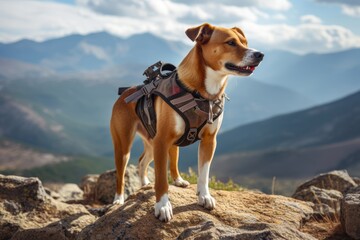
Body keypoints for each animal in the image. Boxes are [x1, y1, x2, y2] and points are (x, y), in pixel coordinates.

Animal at [108, 22, 262, 221]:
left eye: (245, 42)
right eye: (231, 42)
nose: (260, 55)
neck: (203, 94)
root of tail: (124, 93)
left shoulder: (209, 141)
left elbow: (204, 173)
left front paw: (204, 197)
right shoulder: (162, 140)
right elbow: (161, 180)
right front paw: (162, 206)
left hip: (156, 141)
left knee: (144, 161)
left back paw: (166, 181)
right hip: (125, 144)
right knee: (121, 173)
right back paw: (118, 200)